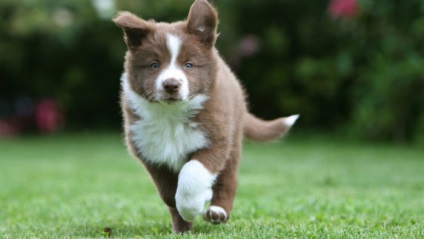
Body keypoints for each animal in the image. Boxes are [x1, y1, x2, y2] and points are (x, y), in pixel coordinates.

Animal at [112, 0, 298, 232]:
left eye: (188, 65)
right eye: (154, 65)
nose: (171, 85)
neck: (172, 115)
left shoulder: (216, 138)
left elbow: (193, 171)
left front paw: (192, 205)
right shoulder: (149, 150)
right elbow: (168, 192)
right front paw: (184, 215)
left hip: (233, 140)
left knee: (228, 180)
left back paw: (218, 210)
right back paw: (183, 228)